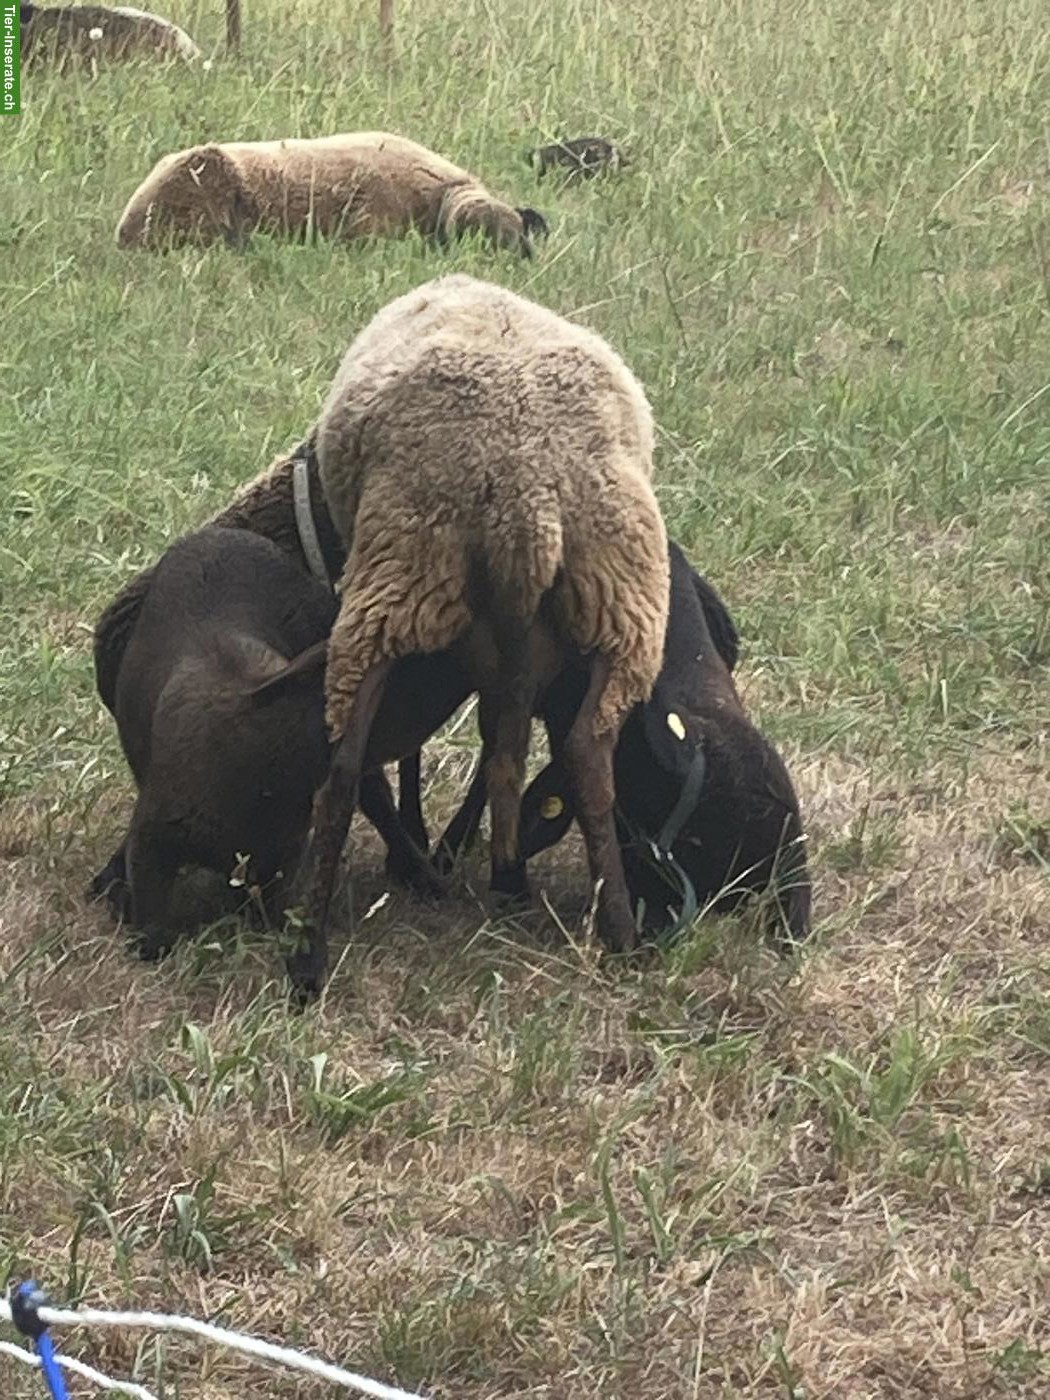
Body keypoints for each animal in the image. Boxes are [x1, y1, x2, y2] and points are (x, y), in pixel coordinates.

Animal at [287, 272, 670, 999]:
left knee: (350, 765)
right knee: (582, 751)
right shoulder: (512, 657)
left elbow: (476, 747)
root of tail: (531, 500)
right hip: (608, 599)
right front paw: (488, 862)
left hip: (427, 579)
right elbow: (500, 745)